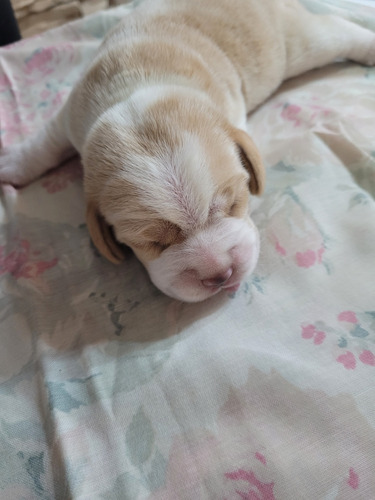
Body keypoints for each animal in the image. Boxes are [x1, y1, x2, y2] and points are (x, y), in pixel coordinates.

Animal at [0, 0, 375, 300]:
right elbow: (44, 145)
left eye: (235, 204)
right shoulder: (69, 117)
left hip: (298, 44)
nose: (219, 274)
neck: (137, 91)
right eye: (152, 243)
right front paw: (12, 163)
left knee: (337, 29)